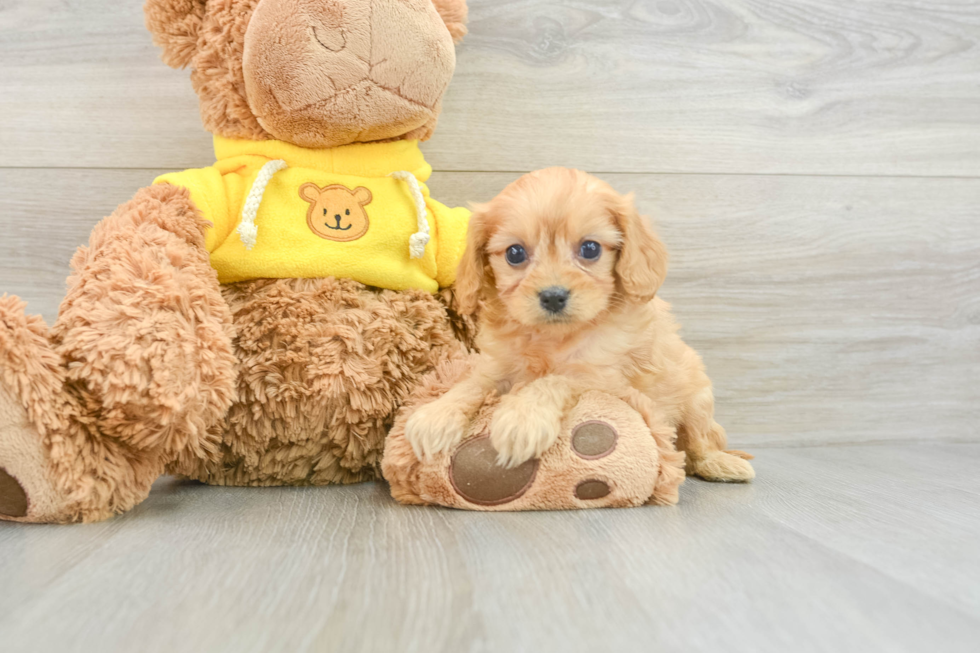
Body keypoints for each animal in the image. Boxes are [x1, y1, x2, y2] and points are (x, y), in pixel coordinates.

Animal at [402, 168, 756, 488]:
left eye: (590, 248)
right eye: (515, 253)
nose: (553, 296)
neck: (552, 337)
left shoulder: (603, 376)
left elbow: (554, 379)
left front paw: (522, 417)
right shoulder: (499, 364)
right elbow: (471, 383)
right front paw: (436, 414)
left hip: (697, 396)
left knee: (699, 443)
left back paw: (722, 464)